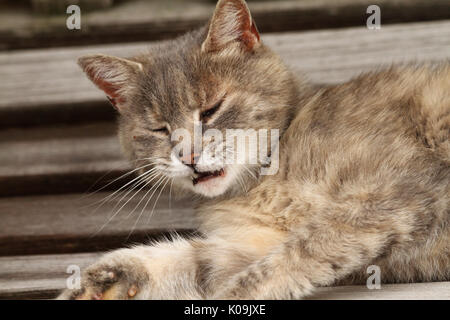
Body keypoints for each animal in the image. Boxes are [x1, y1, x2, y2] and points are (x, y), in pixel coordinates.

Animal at [58, 0, 448, 300]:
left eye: (211, 109)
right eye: (159, 129)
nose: (188, 157)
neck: (260, 182)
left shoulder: (387, 195)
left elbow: (297, 254)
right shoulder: (253, 242)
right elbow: (192, 259)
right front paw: (103, 279)